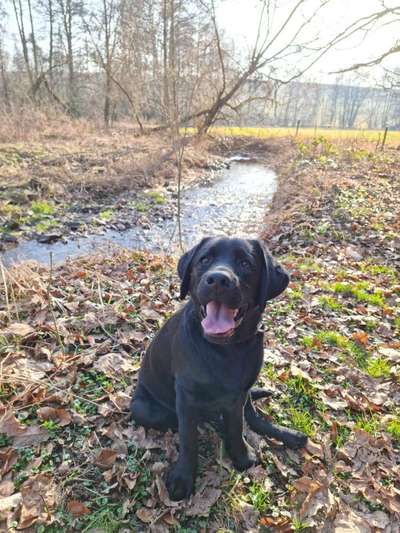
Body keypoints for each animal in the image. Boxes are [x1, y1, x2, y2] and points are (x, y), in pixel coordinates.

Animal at [131, 236, 306, 498]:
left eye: (245, 263)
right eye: (204, 259)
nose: (218, 279)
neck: (225, 350)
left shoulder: (239, 394)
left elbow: (237, 426)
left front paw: (242, 455)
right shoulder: (186, 398)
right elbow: (189, 439)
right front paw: (183, 477)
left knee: (253, 419)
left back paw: (290, 435)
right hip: (143, 409)